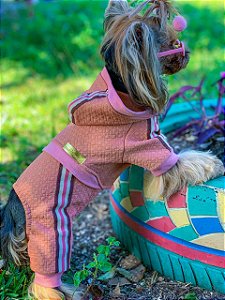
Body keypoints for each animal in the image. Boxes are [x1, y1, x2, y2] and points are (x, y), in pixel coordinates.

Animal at [0, 0, 224, 300]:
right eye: (172, 43)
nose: (186, 52)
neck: (122, 89)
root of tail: (11, 210)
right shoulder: (151, 147)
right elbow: (183, 161)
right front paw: (213, 163)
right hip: (50, 231)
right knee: (43, 278)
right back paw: (66, 291)